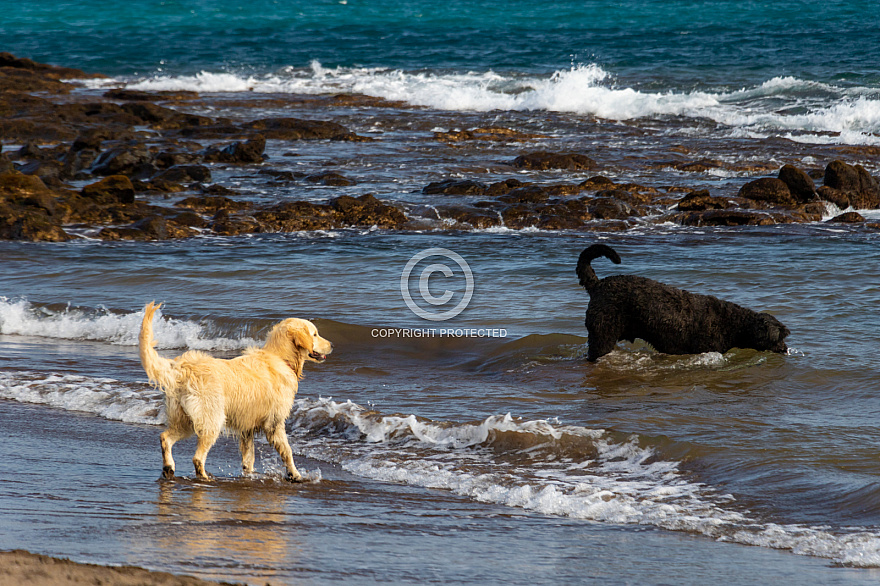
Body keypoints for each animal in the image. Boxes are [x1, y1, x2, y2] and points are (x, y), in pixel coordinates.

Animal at [139, 302, 332, 480]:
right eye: (315, 334)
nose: (331, 345)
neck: (281, 358)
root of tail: (183, 369)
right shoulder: (275, 422)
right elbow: (287, 451)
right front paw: (295, 474)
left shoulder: (248, 426)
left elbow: (249, 458)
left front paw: (250, 475)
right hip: (211, 419)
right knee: (197, 457)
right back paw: (204, 477)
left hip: (184, 419)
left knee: (165, 437)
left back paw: (169, 468)